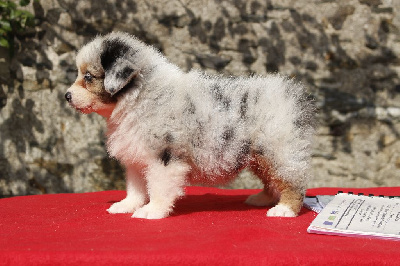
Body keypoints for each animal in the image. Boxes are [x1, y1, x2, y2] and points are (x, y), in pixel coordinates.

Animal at [65, 31, 316, 218]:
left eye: (88, 77)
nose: (66, 96)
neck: (139, 96)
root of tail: (293, 94)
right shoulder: (137, 156)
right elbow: (135, 188)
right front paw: (126, 206)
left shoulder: (164, 156)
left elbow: (158, 187)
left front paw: (152, 211)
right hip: (259, 154)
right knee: (271, 179)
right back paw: (262, 199)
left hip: (278, 149)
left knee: (292, 180)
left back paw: (284, 210)